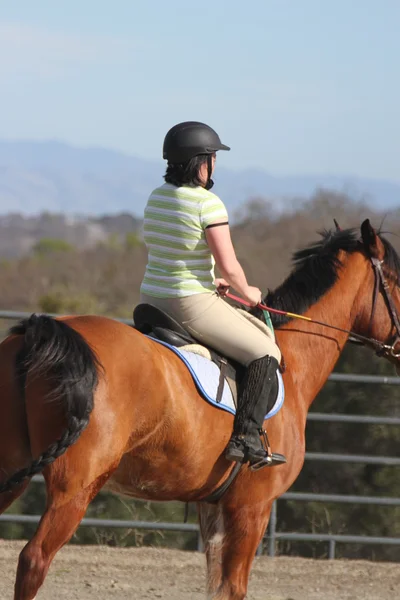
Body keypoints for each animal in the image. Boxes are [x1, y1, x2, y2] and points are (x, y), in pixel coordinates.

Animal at [0, 220, 400, 600]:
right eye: (396, 281)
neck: (292, 362)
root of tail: (41, 331)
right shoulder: (251, 508)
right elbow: (232, 588)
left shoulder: (214, 506)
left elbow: (215, 586)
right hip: (75, 488)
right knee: (34, 559)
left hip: (14, 473)